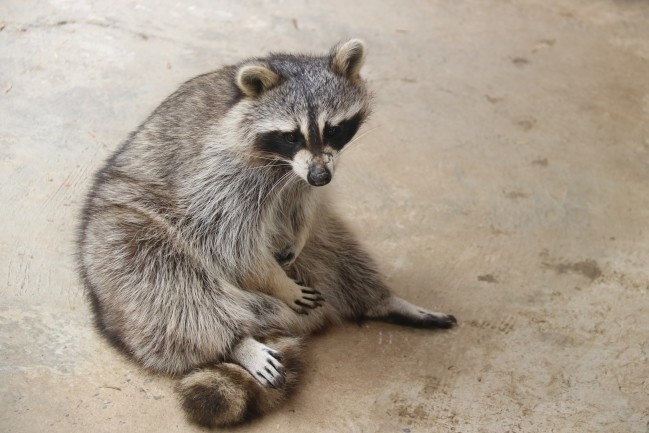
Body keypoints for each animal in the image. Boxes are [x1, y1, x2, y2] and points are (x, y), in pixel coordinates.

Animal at [77, 39, 456, 426]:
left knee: (337, 249)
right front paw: (278, 283)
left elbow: (304, 205)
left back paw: (381, 301)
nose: (321, 176)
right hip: (121, 239)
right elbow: (230, 243)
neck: (284, 164)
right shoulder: (220, 172)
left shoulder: (303, 179)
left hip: (316, 247)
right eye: (290, 136)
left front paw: (301, 228)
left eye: (334, 129)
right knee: (166, 287)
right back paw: (237, 342)